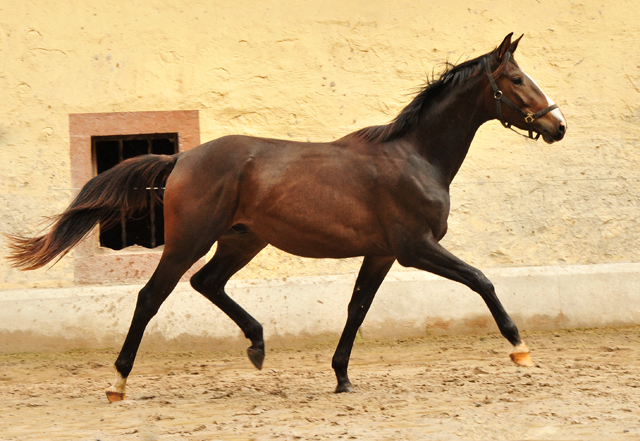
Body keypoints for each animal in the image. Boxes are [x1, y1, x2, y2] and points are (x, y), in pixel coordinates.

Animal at [5, 32, 564, 400]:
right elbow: (481, 280)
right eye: (517, 79)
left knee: (207, 284)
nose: (557, 125)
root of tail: (181, 159)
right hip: (190, 240)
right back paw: (118, 382)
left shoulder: (382, 254)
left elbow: (357, 309)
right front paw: (520, 349)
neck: (415, 157)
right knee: (151, 297)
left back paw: (257, 344)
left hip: (241, 240)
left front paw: (341, 376)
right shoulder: (415, 248)